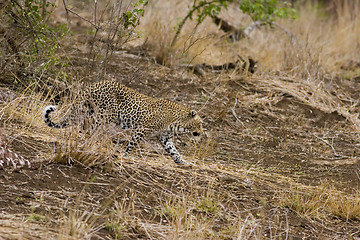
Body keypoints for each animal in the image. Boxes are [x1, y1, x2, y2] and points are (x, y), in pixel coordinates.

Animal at [43, 79, 202, 164]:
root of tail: (92, 85)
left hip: (92, 111)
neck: (176, 122)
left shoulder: (165, 138)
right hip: (106, 114)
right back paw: (90, 141)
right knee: (88, 127)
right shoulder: (142, 129)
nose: (201, 133)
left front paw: (182, 162)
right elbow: (132, 144)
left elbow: (174, 151)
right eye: (200, 124)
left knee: (83, 124)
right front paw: (124, 155)